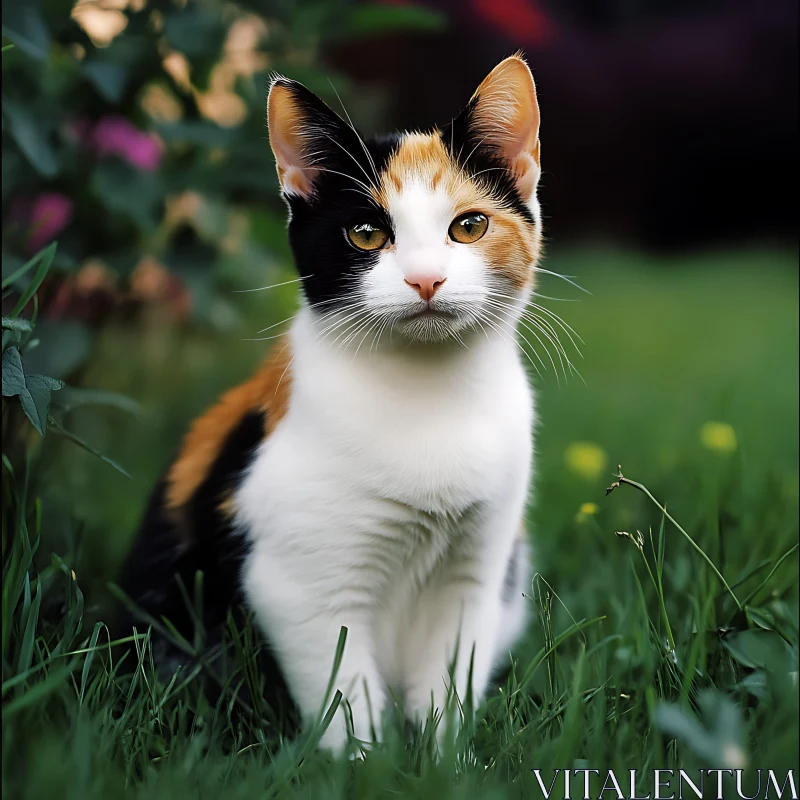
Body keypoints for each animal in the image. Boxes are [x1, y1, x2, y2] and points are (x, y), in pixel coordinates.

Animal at [119, 53, 544, 752]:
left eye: (470, 225)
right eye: (366, 233)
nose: (426, 278)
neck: (429, 397)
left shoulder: (476, 576)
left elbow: (449, 683)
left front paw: (444, 761)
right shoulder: (298, 590)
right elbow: (345, 695)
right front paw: (364, 763)